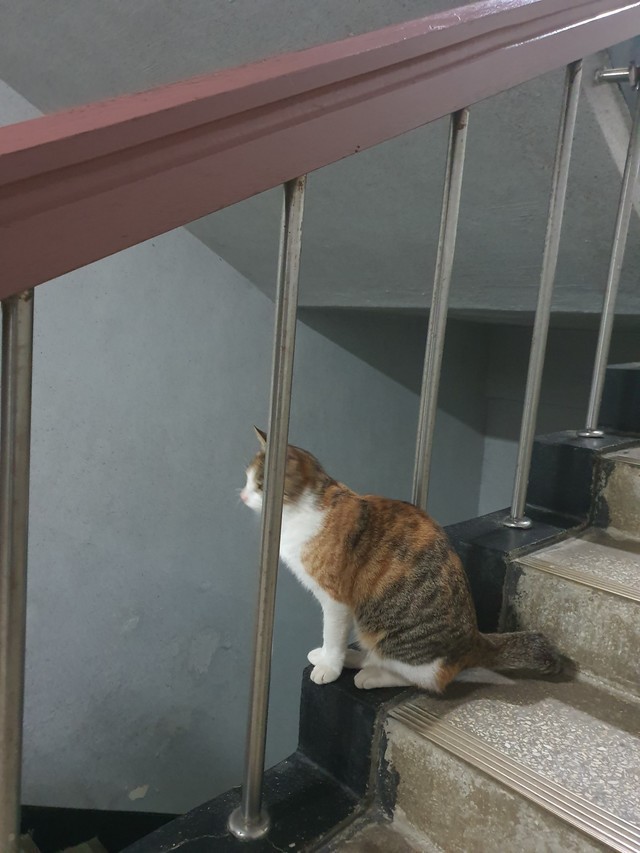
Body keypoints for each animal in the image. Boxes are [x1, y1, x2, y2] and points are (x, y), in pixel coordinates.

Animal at [240, 428, 564, 692]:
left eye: (260, 484)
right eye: (247, 479)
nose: (242, 496)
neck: (303, 510)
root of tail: (475, 639)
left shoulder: (336, 600)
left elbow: (332, 636)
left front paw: (329, 667)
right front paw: (330, 657)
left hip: (390, 636)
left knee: (427, 679)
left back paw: (371, 675)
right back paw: (357, 658)